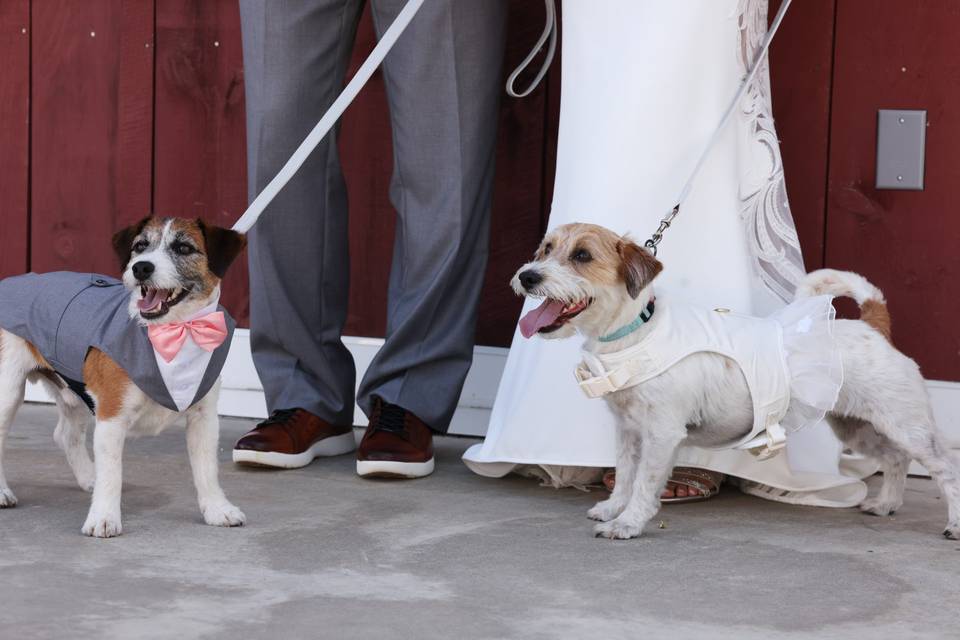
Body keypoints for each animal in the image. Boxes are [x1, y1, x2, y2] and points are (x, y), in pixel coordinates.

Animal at [0, 218, 251, 536]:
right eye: (140, 246)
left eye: (184, 248)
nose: (141, 268)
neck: (175, 333)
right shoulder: (111, 416)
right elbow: (112, 473)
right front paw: (104, 517)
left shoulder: (203, 417)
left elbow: (207, 469)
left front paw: (217, 509)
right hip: (7, 391)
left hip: (75, 391)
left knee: (66, 434)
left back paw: (88, 477)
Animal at [516, 224, 960, 540]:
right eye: (546, 249)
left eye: (583, 255)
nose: (527, 276)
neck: (635, 333)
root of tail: (874, 326)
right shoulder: (628, 431)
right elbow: (625, 474)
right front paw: (612, 508)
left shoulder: (662, 434)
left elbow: (644, 482)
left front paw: (628, 523)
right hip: (856, 428)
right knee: (895, 460)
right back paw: (886, 504)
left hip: (907, 425)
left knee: (945, 468)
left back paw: (953, 524)